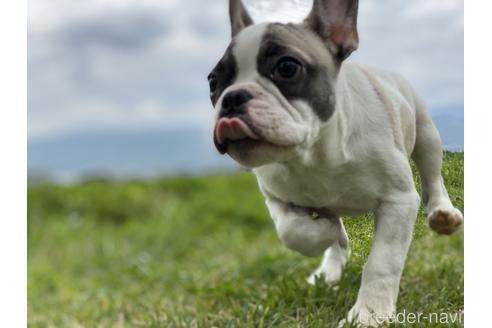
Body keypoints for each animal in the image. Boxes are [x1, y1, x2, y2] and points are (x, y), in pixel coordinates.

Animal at [206, 0, 464, 326]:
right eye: (213, 82)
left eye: (287, 68)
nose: (231, 98)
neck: (315, 154)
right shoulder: (275, 196)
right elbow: (292, 231)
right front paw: (323, 231)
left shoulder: (398, 200)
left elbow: (382, 261)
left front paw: (368, 315)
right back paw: (329, 268)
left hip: (426, 133)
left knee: (432, 177)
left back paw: (443, 213)